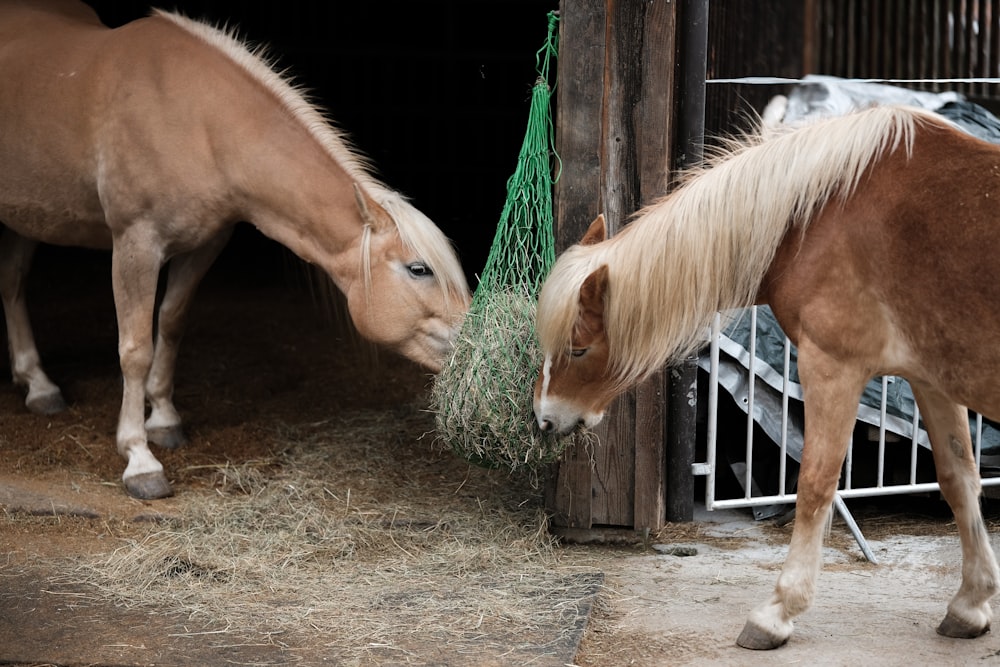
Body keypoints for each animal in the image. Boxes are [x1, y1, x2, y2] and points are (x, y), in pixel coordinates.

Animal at [0, 0, 468, 500]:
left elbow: (171, 323)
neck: (194, 118)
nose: (472, 337)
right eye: (419, 269)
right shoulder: (135, 244)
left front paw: (164, 418)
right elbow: (135, 348)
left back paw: (38, 385)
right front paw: (140, 459)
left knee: (12, 284)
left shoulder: (203, 245)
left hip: (27, 214)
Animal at [536, 104, 1000, 648]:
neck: (818, 212)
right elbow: (958, 478)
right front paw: (970, 605)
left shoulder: (833, 366)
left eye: (578, 349)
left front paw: (777, 612)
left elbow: (816, 485)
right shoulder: (930, 379)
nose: (544, 418)